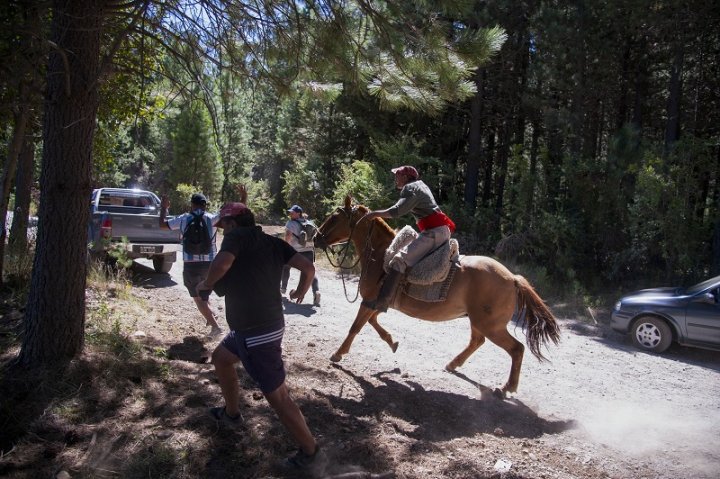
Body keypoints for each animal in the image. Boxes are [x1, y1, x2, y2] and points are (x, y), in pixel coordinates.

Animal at [316, 195, 564, 398]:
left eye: (334, 218)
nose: (317, 237)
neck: (381, 254)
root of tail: (512, 278)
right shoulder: (375, 303)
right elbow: (373, 323)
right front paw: (392, 341)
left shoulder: (368, 302)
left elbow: (356, 326)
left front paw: (338, 354)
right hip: (479, 322)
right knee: (477, 341)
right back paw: (453, 365)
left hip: (492, 325)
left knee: (516, 349)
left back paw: (505, 388)